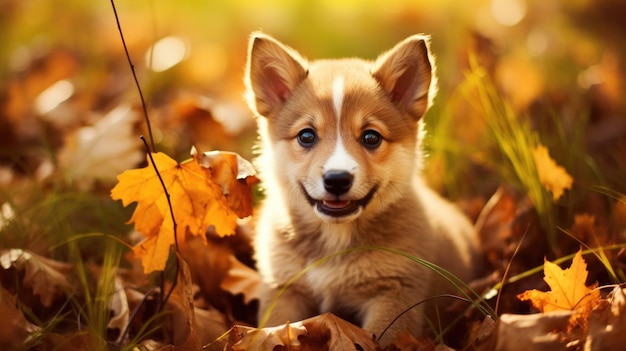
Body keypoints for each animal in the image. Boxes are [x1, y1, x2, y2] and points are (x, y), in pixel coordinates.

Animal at [244, 33, 478, 346]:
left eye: (371, 137)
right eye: (307, 135)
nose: (337, 179)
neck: (335, 238)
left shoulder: (396, 293)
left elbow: (383, 337)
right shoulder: (284, 289)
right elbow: (275, 331)